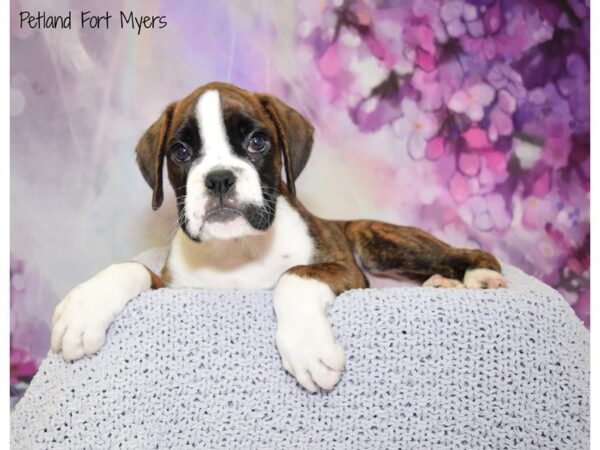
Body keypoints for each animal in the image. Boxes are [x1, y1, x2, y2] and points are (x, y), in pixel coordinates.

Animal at [50, 82, 506, 392]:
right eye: (180, 152)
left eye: (257, 142)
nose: (219, 179)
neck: (237, 249)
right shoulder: (174, 289)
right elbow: (130, 268)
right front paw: (82, 311)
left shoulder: (342, 268)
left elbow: (294, 277)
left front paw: (307, 348)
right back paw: (441, 285)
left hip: (373, 240)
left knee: (469, 252)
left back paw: (478, 278)